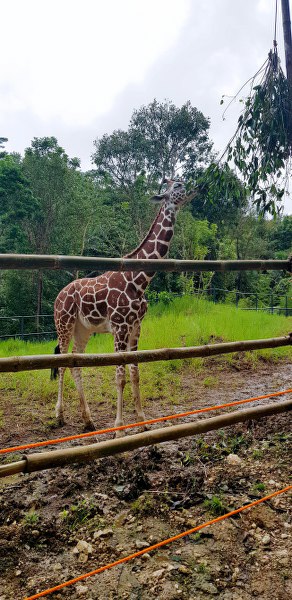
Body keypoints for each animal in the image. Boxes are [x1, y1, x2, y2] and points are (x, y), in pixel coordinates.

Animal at [51, 178, 197, 432]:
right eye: (178, 185)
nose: (195, 187)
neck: (139, 280)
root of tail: (57, 297)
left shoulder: (136, 327)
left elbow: (135, 371)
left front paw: (142, 419)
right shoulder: (119, 326)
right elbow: (120, 375)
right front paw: (119, 427)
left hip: (83, 329)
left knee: (75, 363)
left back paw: (88, 420)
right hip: (64, 324)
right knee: (61, 364)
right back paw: (59, 416)